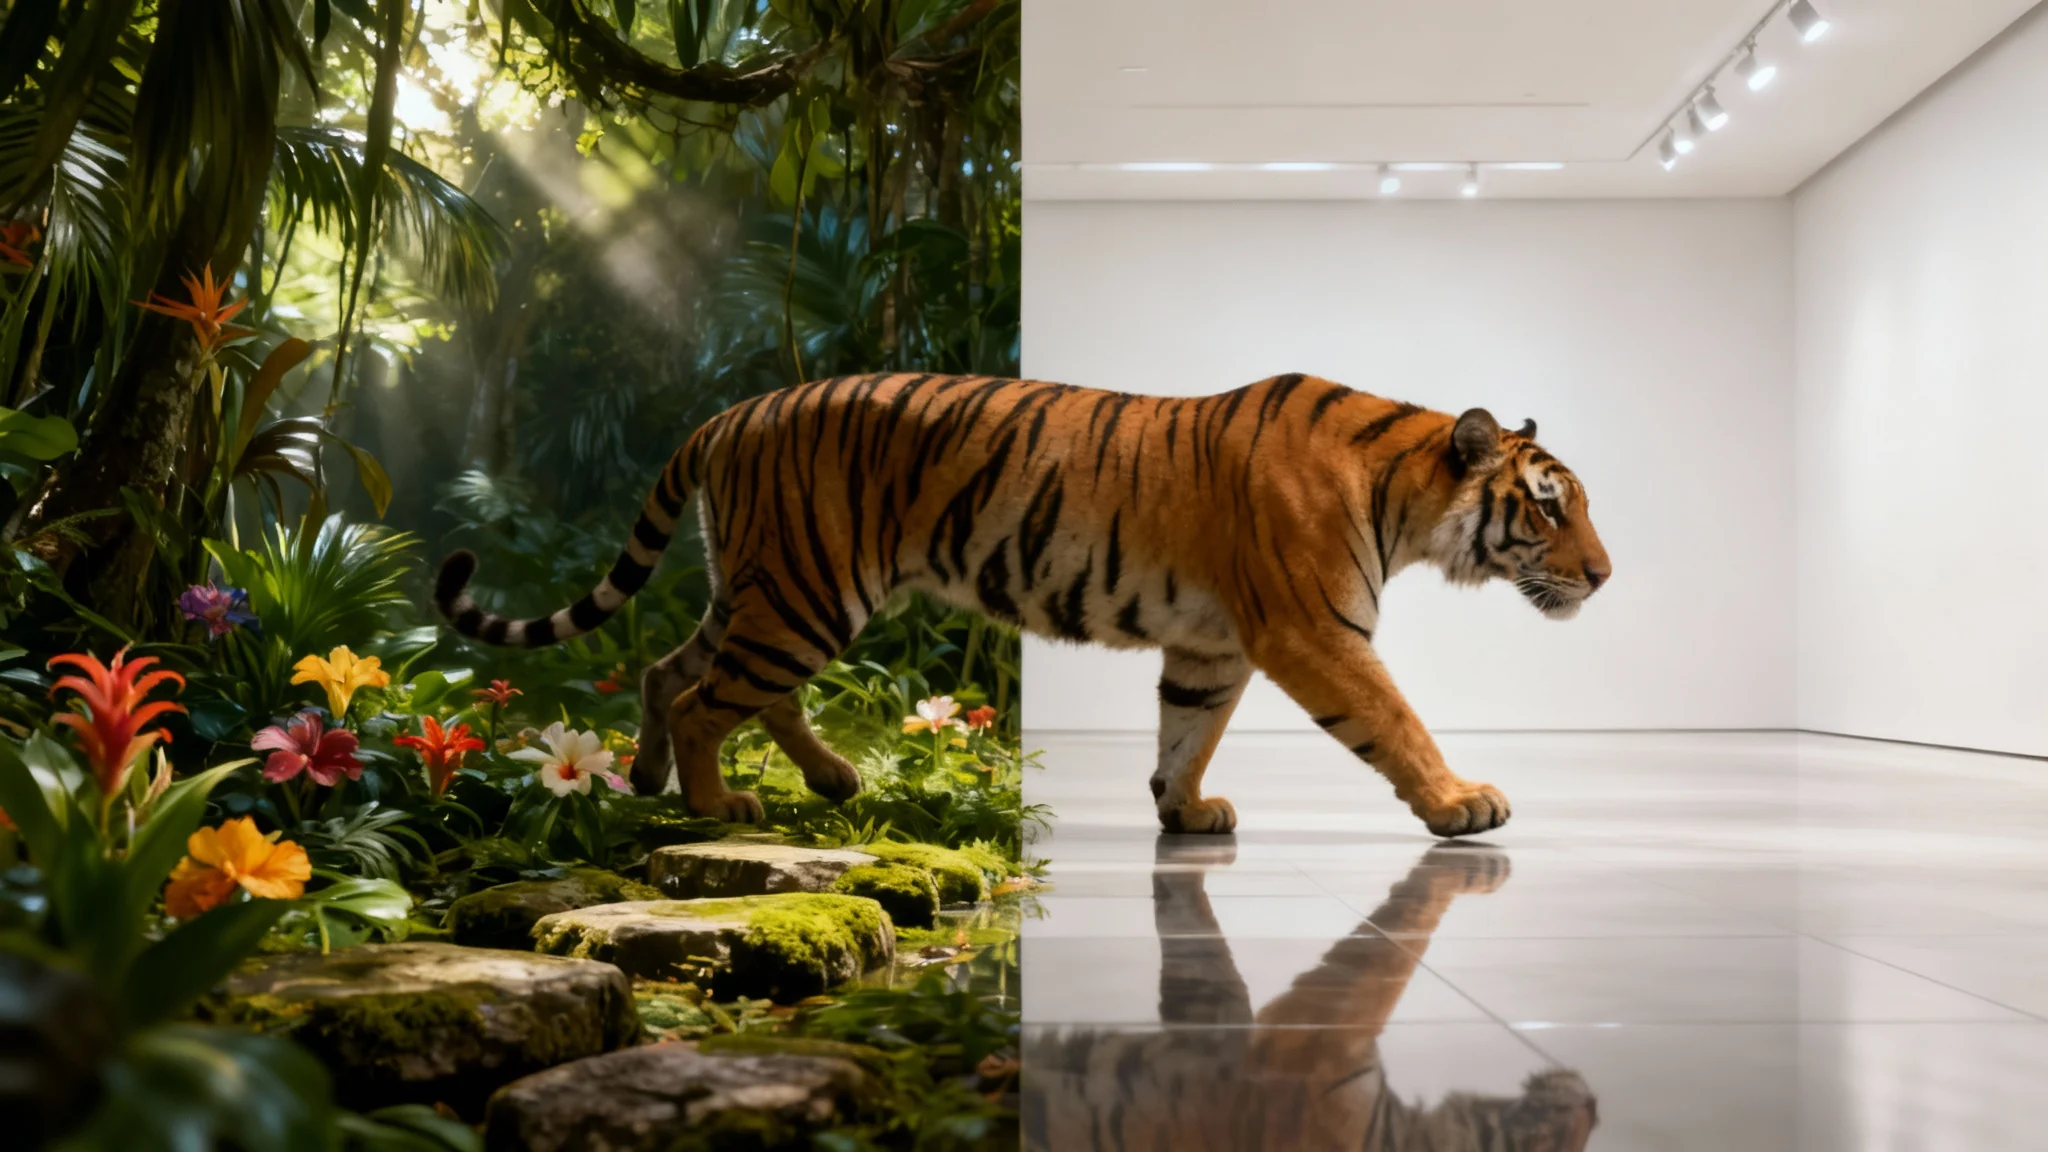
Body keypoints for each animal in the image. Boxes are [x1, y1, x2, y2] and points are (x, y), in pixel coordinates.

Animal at [435, 371, 1611, 836]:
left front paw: (1182, 812)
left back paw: (671, 778)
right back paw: (715, 806)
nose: (1603, 577)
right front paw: (1461, 801)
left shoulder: (1214, 646)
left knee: (672, 669)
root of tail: (732, 410)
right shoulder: (1312, 631)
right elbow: (1395, 720)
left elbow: (1186, 731)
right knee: (702, 696)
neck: (1404, 495)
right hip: (802, 593)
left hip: (761, 585)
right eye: (1549, 507)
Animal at [1024, 844, 1600, 1150]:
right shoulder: (1324, 1038)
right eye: (1558, 1144)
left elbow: (1193, 943)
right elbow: (1406, 936)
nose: (1595, 1107)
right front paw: (1477, 861)